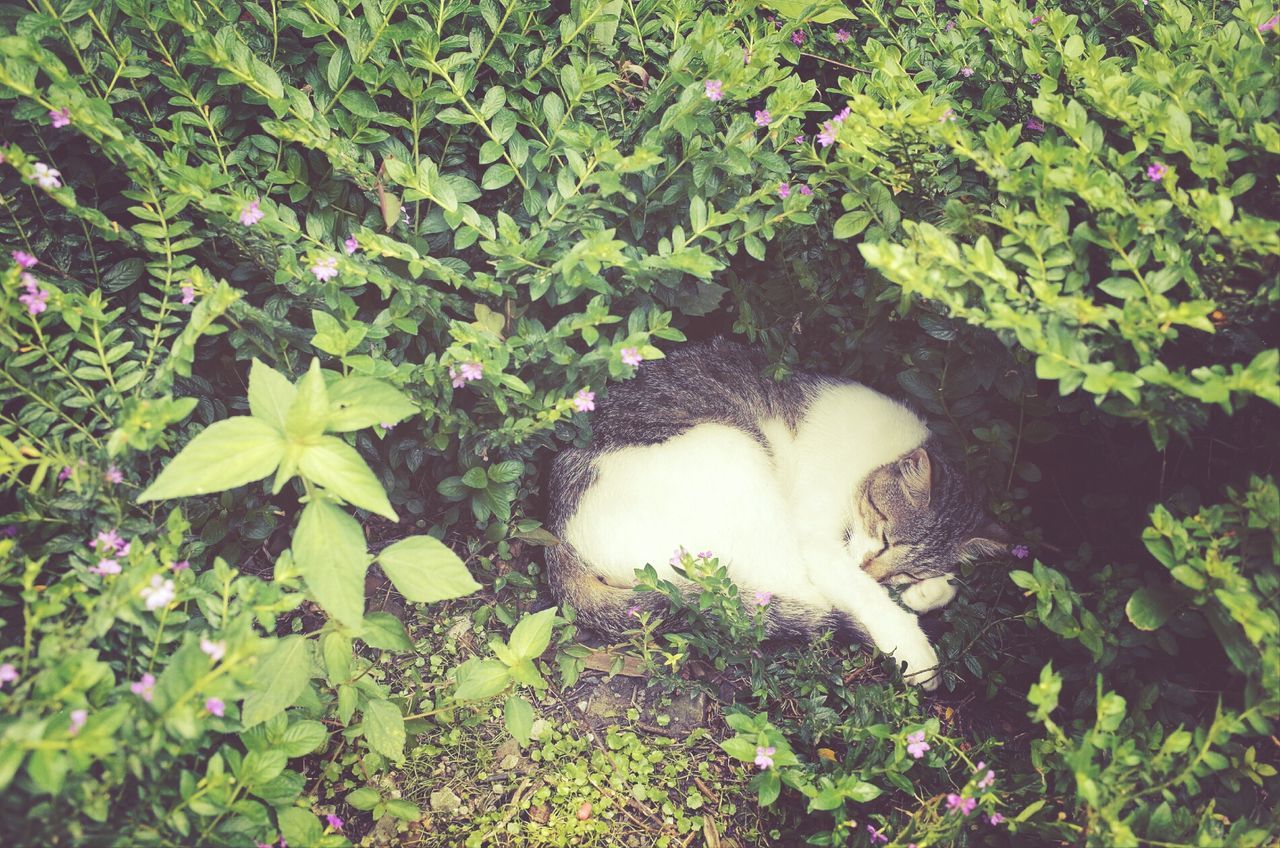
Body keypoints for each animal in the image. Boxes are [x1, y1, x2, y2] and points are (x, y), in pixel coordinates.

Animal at [545, 338, 1003, 691]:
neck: (876, 458)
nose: (875, 569)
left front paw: (924, 588)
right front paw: (916, 649)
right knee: (800, 596)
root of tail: (557, 535)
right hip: (736, 458)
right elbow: (860, 591)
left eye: (907, 568)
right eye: (885, 535)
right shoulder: (818, 541)